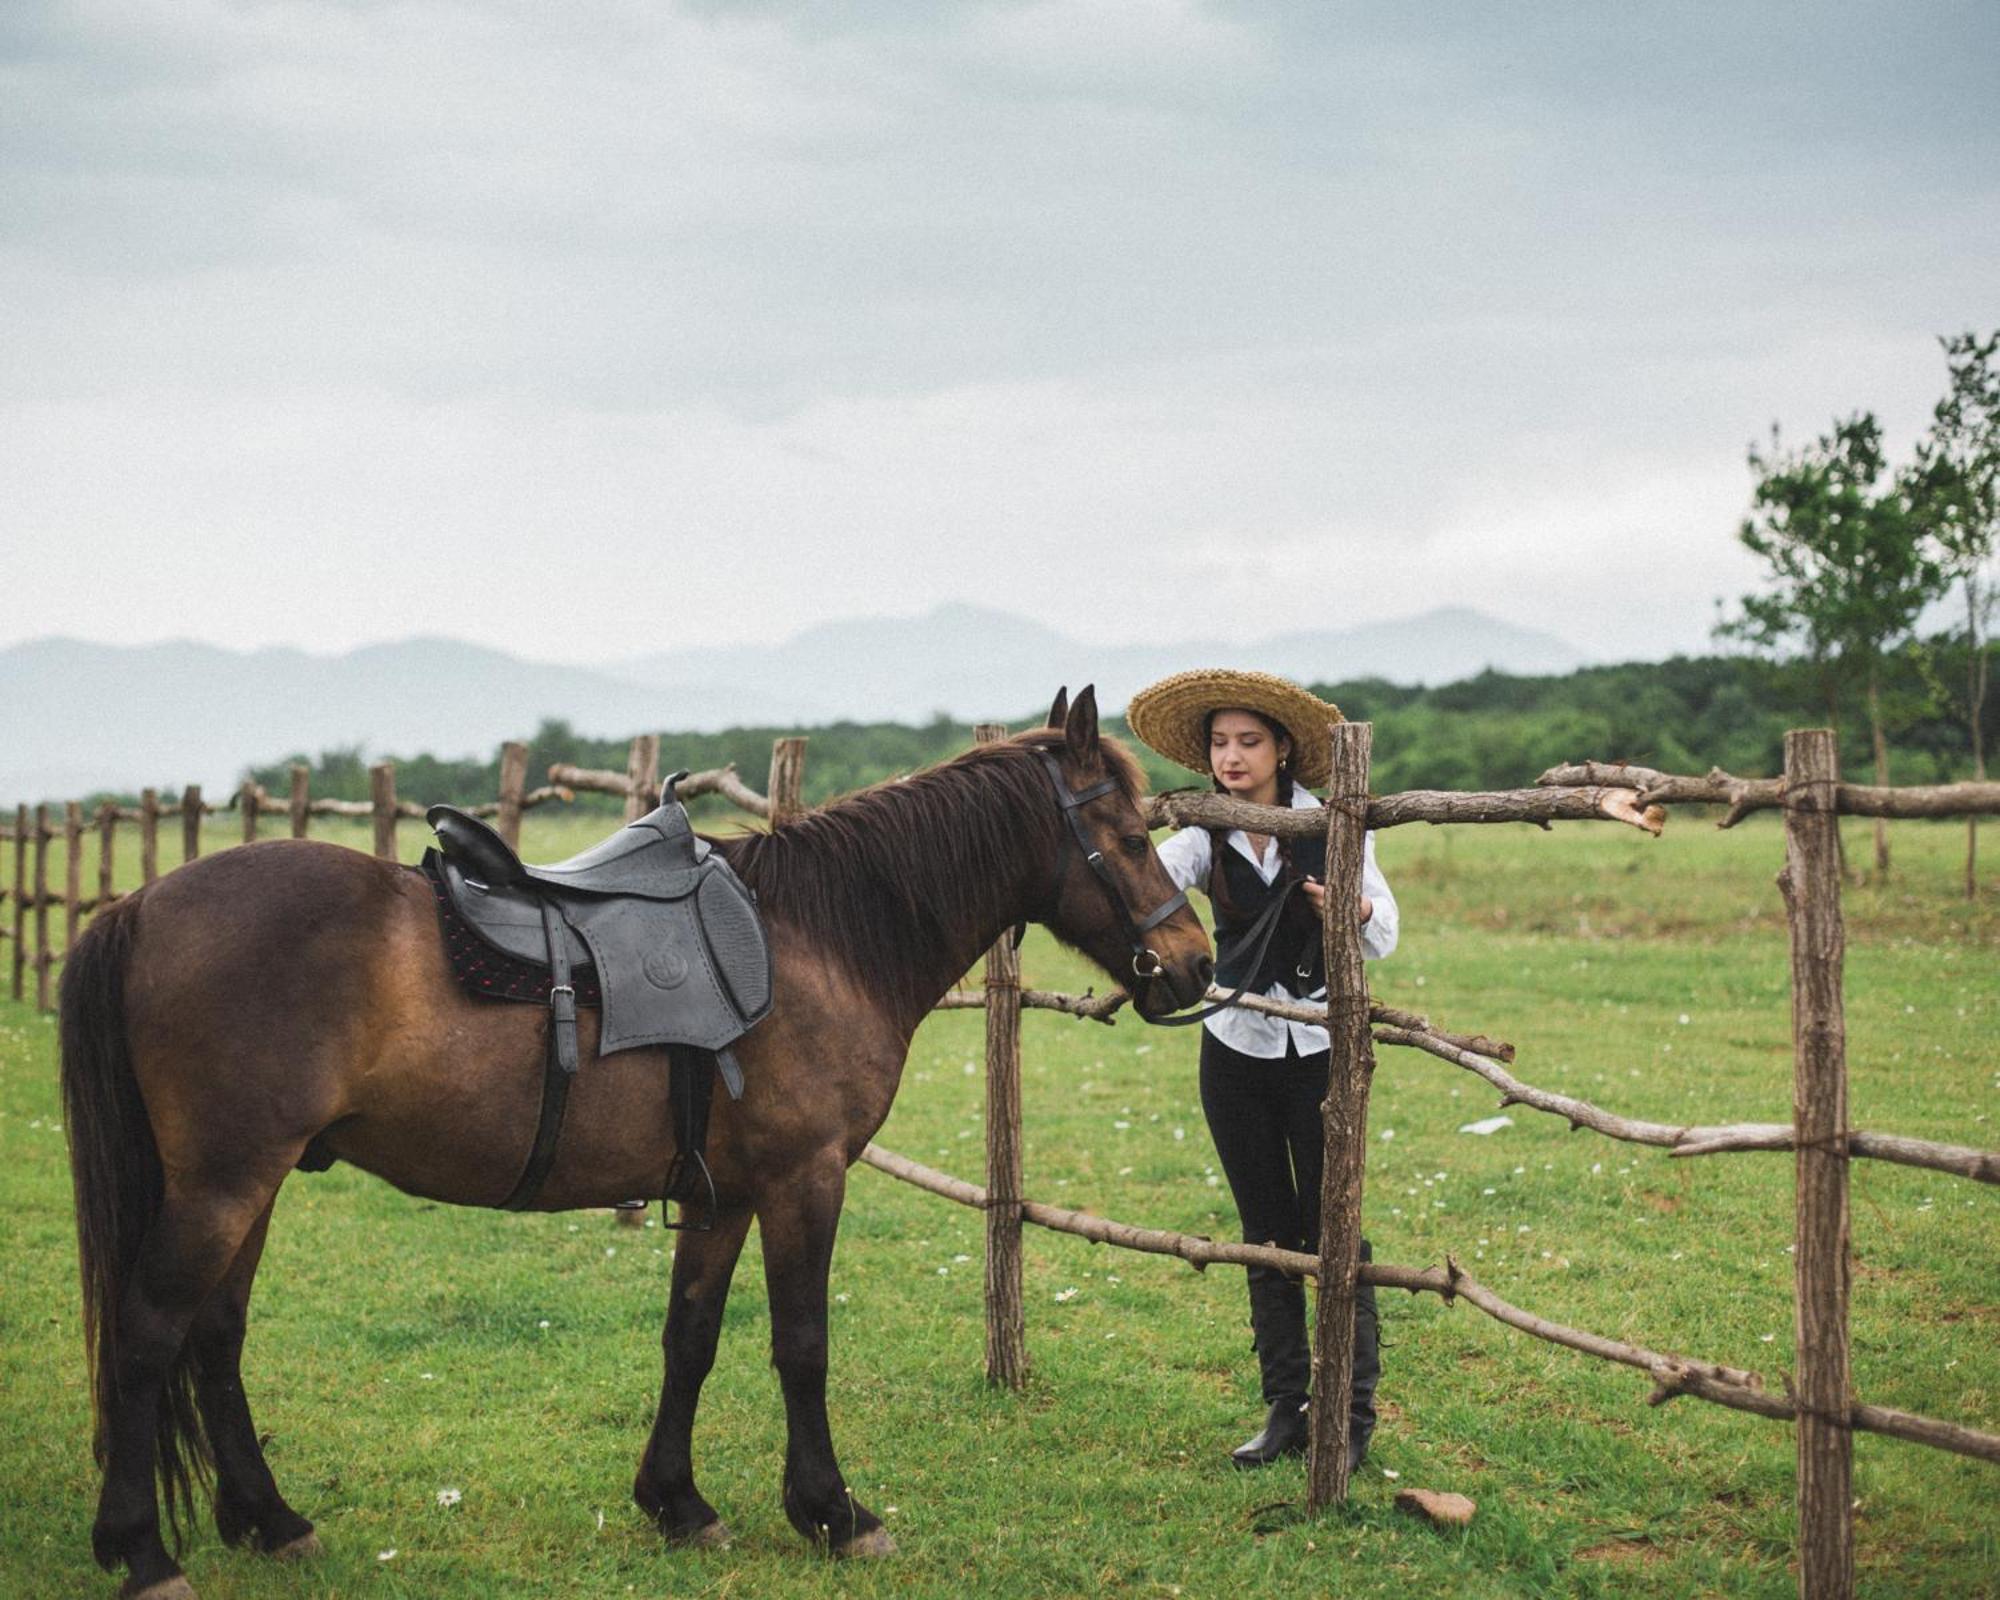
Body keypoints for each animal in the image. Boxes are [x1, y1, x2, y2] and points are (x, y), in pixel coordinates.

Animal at [58, 688, 1216, 1600]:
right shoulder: (804, 1181)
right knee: (150, 1334)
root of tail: (140, 904)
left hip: (247, 1186)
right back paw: (143, 1553)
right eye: (1124, 835)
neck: (821, 935)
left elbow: (689, 1337)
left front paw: (677, 1503)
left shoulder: (720, 1193)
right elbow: (801, 1345)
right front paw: (834, 1513)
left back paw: (270, 1520)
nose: (1195, 962)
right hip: (222, 1184)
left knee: (214, 1338)